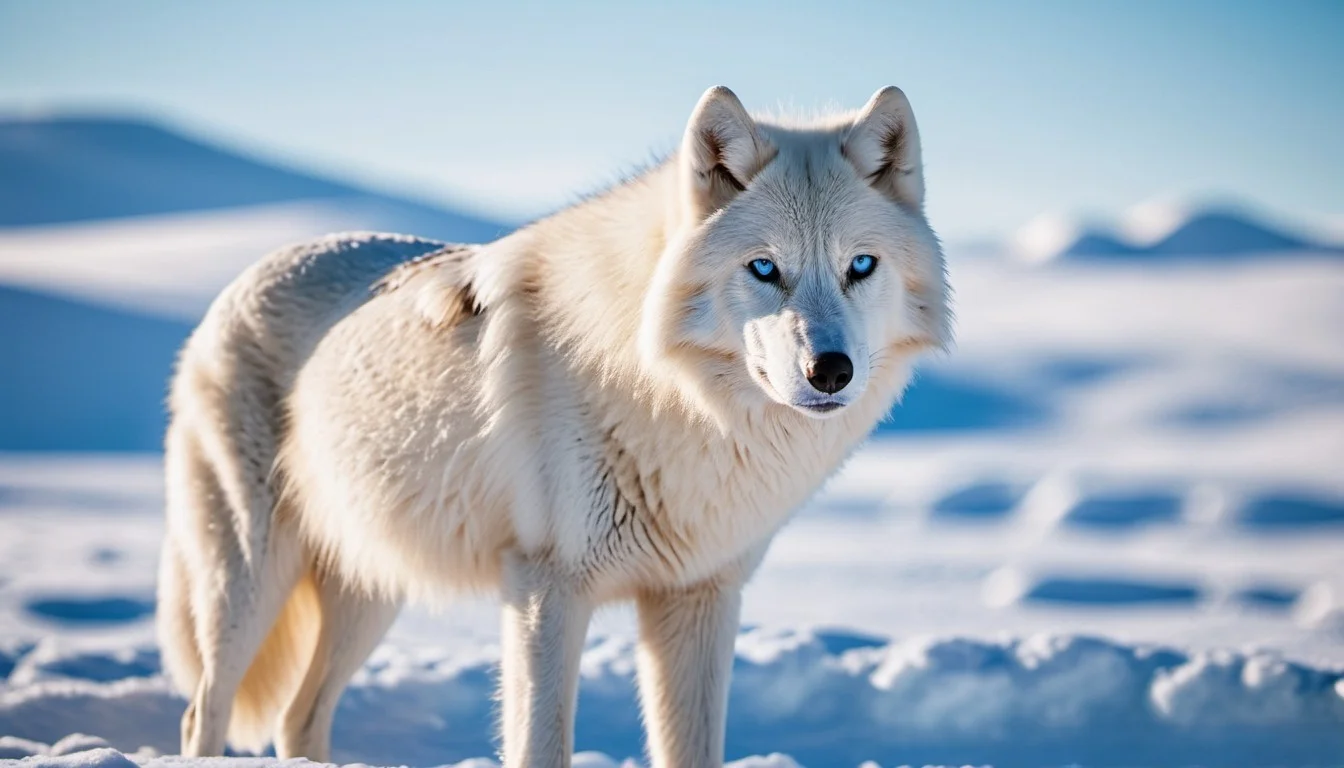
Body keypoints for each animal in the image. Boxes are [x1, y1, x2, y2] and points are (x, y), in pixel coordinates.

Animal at [157, 85, 950, 767]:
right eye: (764, 269)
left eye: (860, 266)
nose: (830, 371)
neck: (680, 404)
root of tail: (242, 281)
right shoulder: (546, 590)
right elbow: (541, 746)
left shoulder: (698, 599)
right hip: (248, 578)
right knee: (204, 712)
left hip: (370, 587)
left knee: (298, 716)